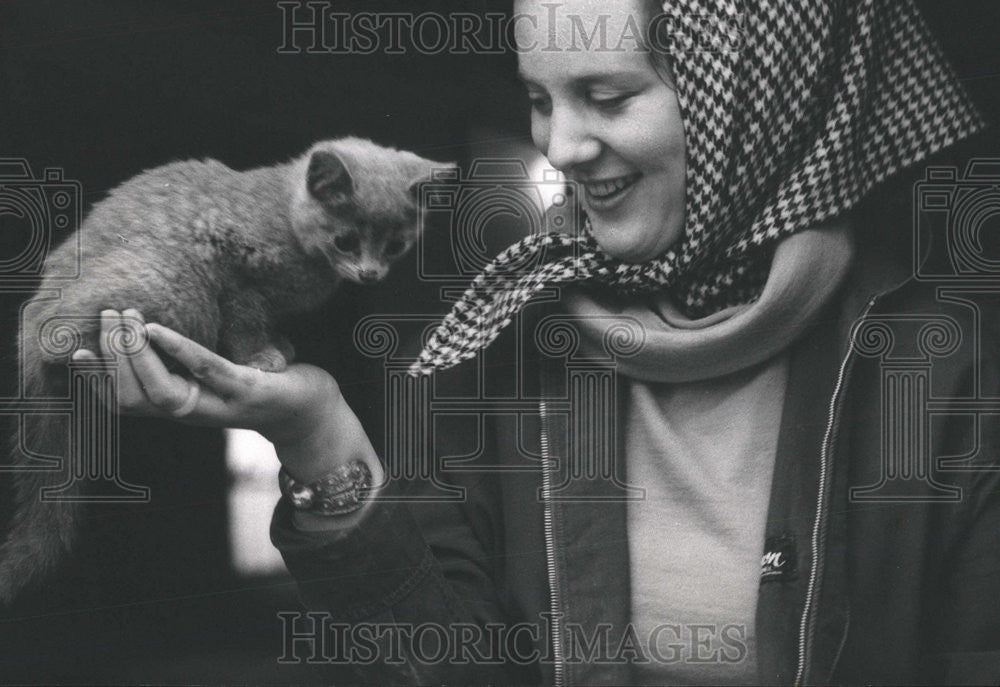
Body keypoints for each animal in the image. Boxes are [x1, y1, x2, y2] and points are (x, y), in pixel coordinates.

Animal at [0, 137, 448, 604]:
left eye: (395, 246)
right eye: (345, 240)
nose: (370, 272)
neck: (285, 219)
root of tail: (30, 331)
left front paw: (279, 345)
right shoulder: (236, 272)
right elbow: (245, 321)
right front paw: (262, 356)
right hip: (176, 288)